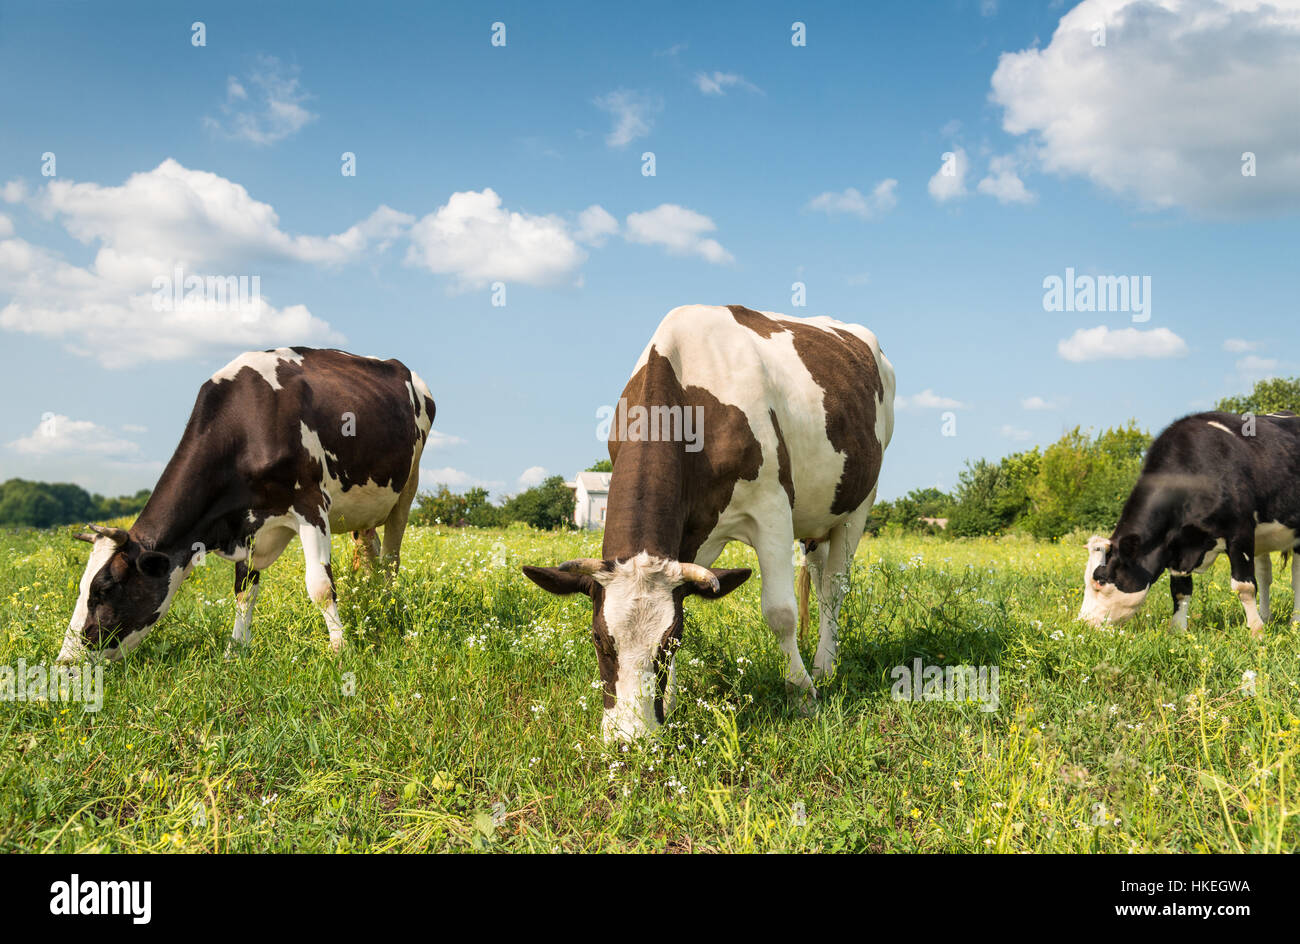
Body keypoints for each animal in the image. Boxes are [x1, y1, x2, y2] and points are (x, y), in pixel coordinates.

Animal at [57, 347, 435, 663]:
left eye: (104, 588)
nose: (66, 662)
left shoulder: (311, 505)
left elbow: (320, 586)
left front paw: (341, 648)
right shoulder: (248, 525)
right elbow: (243, 591)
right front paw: (235, 650)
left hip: (407, 486)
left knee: (391, 559)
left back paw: (387, 607)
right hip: (364, 505)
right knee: (370, 549)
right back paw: (370, 600)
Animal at [523, 304, 895, 741]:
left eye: (669, 641)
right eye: (599, 639)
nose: (631, 740)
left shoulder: (772, 507)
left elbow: (780, 612)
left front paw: (802, 694)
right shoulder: (686, 534)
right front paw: (669, 705)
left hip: (859, 505)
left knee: (834, 590)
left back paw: (823, 668)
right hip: (816, 519)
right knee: (819, 581)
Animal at [1078, 411, 1300, 636]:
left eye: (1100, 581)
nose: (1083, 623)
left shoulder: (1240, 533)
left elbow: (1244, 587)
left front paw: (1256, 632)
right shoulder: (1177, 545)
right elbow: (1180, 590)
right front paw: (1177, 631)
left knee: (1296, 579)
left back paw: (1294, 623)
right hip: (1263, 539)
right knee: (1265, 576)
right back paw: (1267, 617)